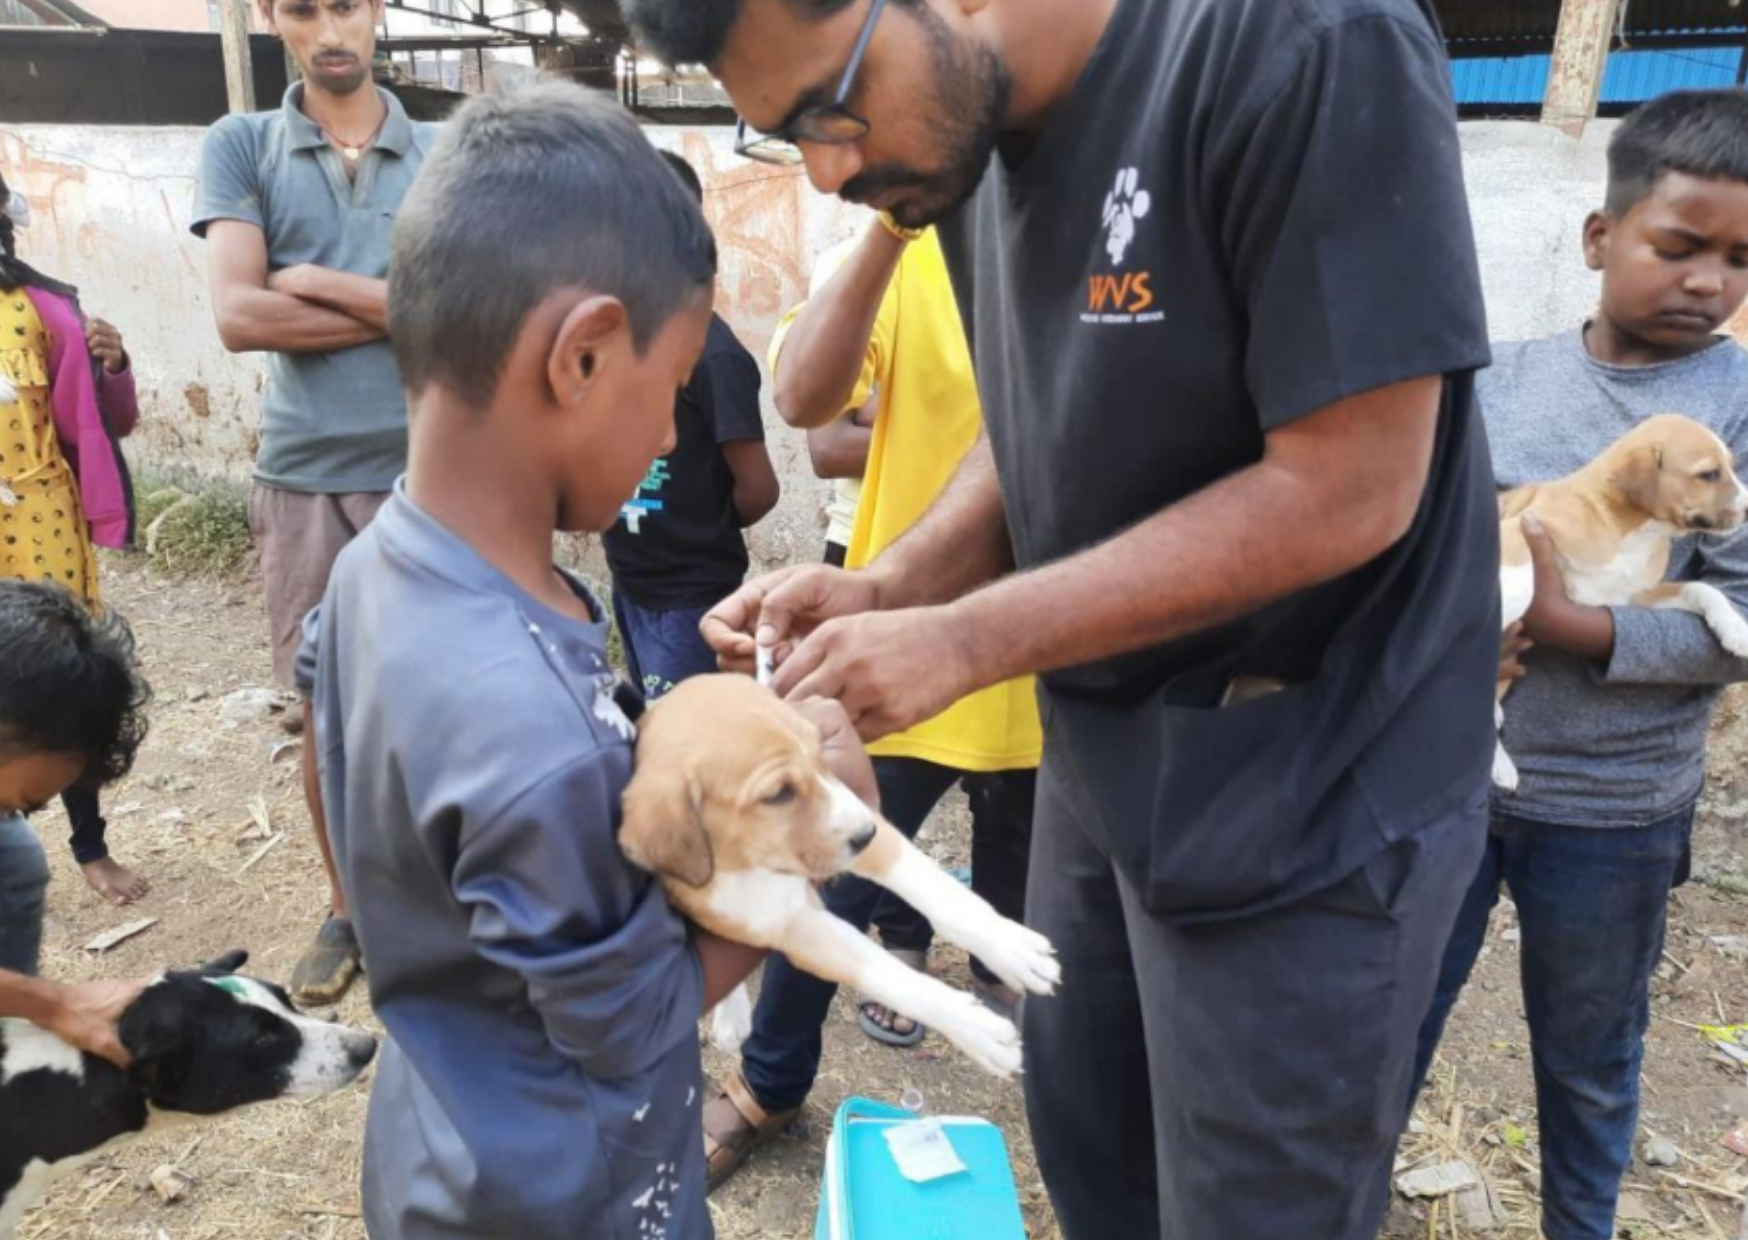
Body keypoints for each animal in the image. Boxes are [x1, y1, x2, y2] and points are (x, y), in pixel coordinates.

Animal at [629, 678, 1062, 1070]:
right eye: (778, 794)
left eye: (821, 753)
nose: (866, 834)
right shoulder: (790, 926)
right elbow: (887, 974)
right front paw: (977, 1031)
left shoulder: (860, 813)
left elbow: (934, 887)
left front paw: (1011, 947)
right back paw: (731, 1019)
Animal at [1496, 412, 1748, 783]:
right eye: (1709, 474)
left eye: (1731, 466)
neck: (1632, 530)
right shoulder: (1520, 526)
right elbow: (1519, 579)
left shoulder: (1631, 597)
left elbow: (1701, 588)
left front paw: (1735, 628)